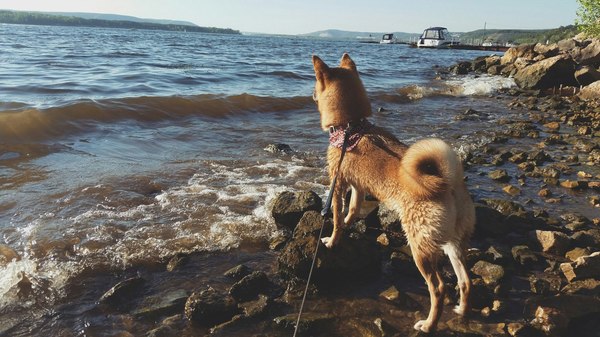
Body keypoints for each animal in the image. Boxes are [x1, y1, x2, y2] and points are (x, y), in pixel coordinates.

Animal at [312, 52, 476, 330]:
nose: (311, 94)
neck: (350, 127)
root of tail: (449, 185)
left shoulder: (339, 183)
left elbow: (335, 219)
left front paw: (333, 241)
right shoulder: (358, 186)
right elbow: (351, 211)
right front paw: (349, 225)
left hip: (420, 248)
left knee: (439, 288)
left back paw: (428, 325)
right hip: (453, 243)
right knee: (465, 280)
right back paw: (462, 311)